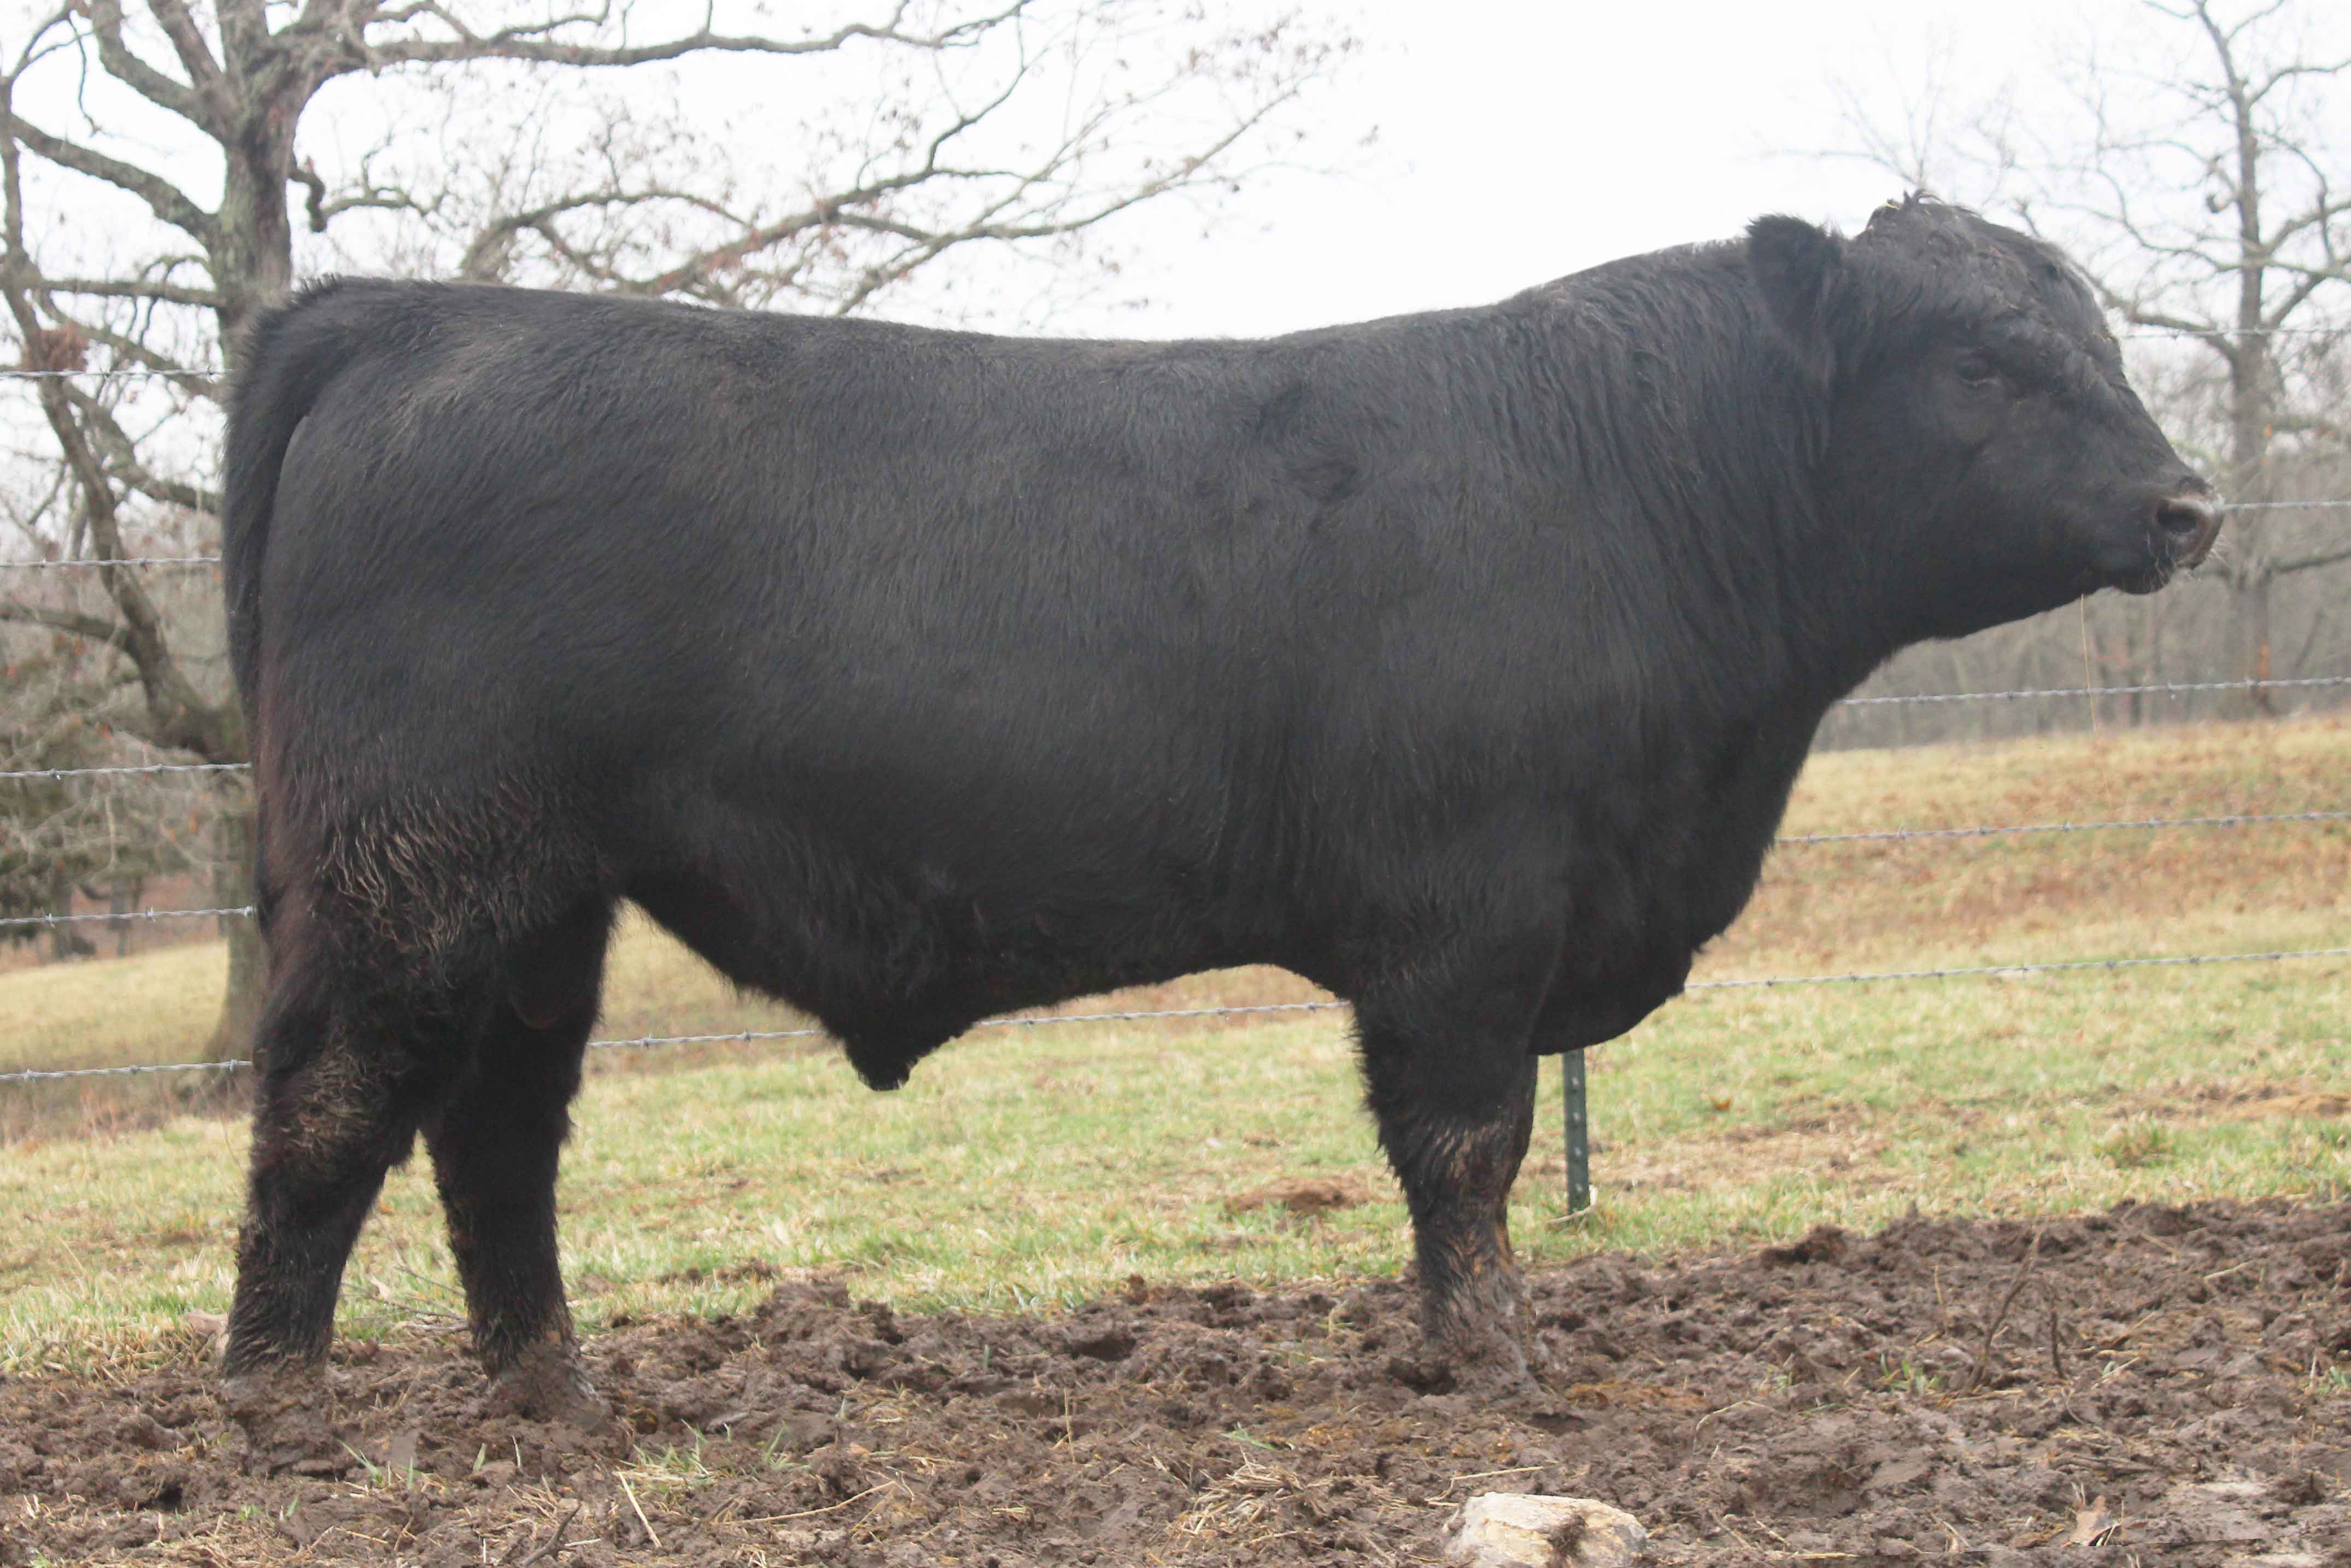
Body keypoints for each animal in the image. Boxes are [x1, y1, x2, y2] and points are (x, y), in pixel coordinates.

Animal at [217, 196, 2218, 1464]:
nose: (2188, 503)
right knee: (328, 1103)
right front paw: (1494, 1362)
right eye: (1985, 360)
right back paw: (273, 1413)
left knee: (495, 1135)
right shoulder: (1468, 920)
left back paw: (556, 1401)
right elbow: (1466, 1150)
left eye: (2098, 334)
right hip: (415, 868)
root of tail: (419, 314)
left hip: (540, 900)